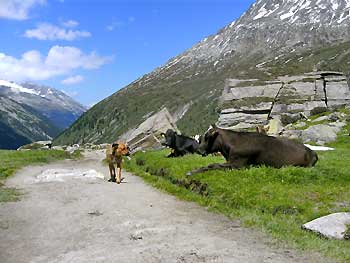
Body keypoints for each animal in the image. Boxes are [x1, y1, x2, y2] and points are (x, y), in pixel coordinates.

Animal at [187, 126, 318, 177]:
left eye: (207, 137)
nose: (198, 150)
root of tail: (311, 151)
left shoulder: (238, 164)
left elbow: (212, 165)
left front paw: (192, 172)